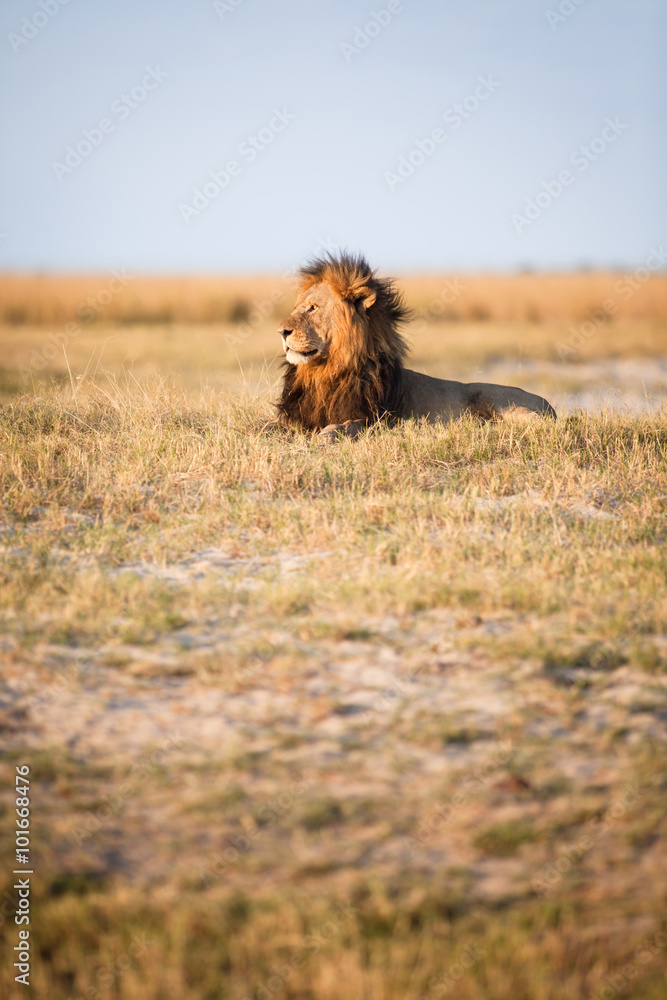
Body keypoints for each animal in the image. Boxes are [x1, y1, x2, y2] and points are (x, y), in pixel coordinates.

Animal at [276, 253, 555, 440]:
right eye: (296, 307)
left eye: (313, 308)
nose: (282, 331)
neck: (324, 371)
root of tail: (549, 405)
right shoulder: (295, 417)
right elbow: (270, 425)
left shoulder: (378, 420)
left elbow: (348, 425)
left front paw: (329, 433)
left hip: (499, 399)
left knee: (537, 423)